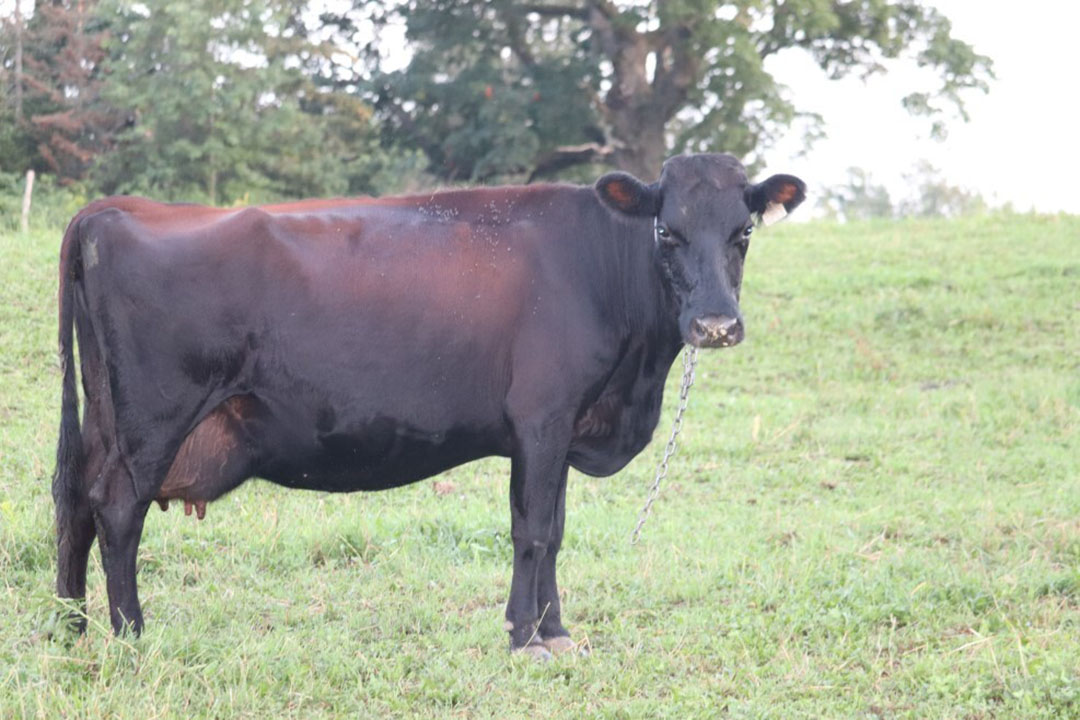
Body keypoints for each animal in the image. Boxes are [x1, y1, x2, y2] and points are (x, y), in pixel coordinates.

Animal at [54, 153, 807, 660]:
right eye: (666, 233)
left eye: (743, 233)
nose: (716, 325)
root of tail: (115, 209)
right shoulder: (542, 419)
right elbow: (533, 530)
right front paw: (525, 639)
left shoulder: (563, 430)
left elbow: (557, 531)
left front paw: (557, 632)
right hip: (152, 421)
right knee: (116, 510)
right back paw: (130, 634)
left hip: (104, 419)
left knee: (73, 503)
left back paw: (70, 626)